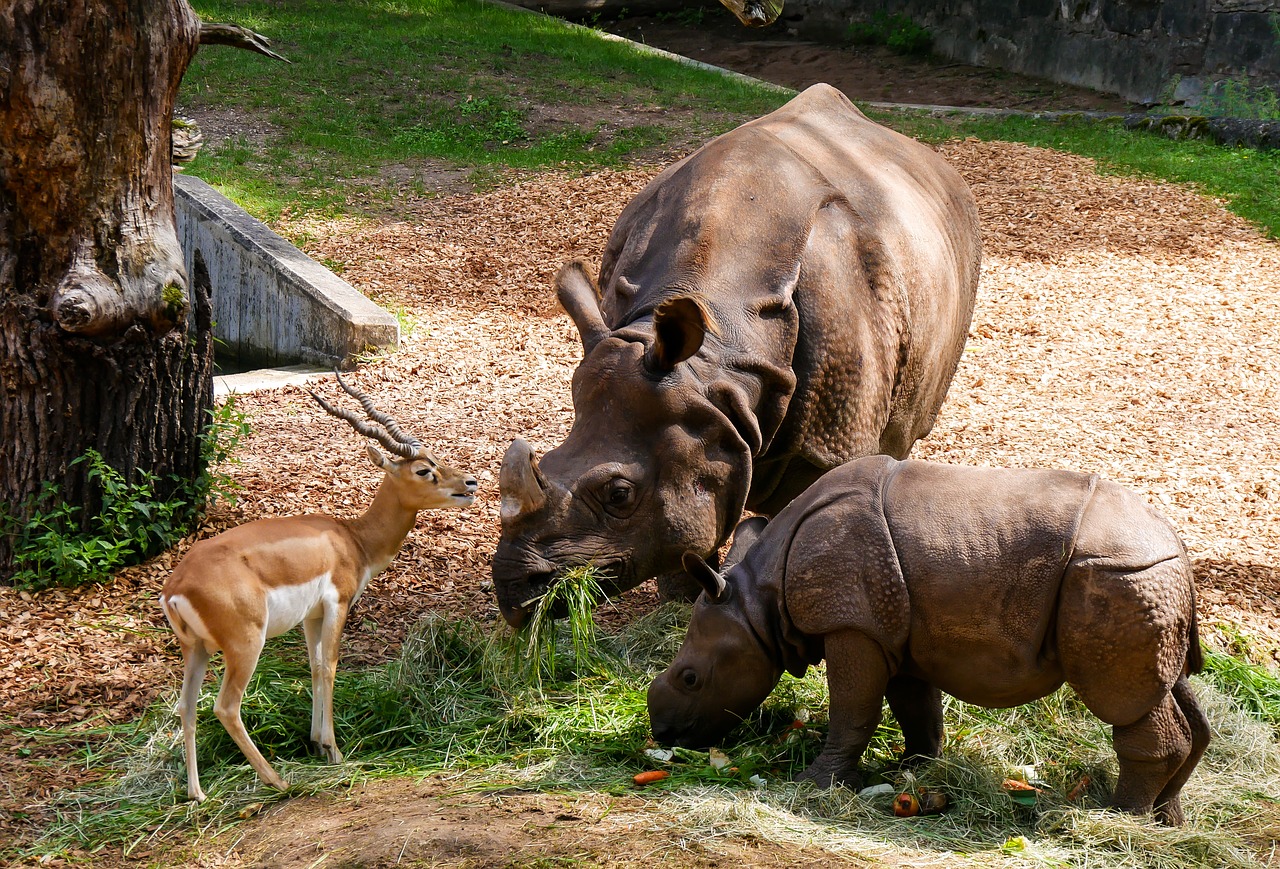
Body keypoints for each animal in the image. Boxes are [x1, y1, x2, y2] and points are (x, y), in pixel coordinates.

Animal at [158, 373, 481, 803]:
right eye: (423, 470)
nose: (470, 482)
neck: (352, 538)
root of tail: (175, 587)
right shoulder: (337, 604)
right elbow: (329, 665)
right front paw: (334, 749)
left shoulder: (310, 617)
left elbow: (312, 667)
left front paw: (315, 742)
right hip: (245, 645)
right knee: (225, 707)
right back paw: (277, 780)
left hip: (195, 648)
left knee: (186, 706)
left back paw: (198, 794)